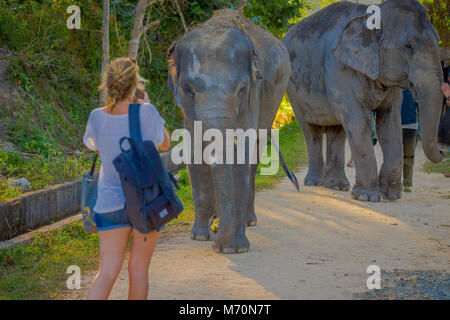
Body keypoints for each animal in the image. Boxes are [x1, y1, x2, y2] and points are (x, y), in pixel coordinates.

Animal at [167, 8, 290, 251]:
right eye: (189, 89)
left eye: (242, 89)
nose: (215, 228)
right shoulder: (187, 110)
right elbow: (194, 151)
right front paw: (200, 236)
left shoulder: (254, 95)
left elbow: (241, 153)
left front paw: (234, 248)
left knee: (254, 155)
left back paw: (249, 221)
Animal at [284, 0, 444, 201]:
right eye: (408, 46)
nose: (443, 152)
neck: (370, 15)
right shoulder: (339, 69)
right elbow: (359, 122)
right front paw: (367, 197)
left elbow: (390, 124)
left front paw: (392, 195)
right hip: (293, 93)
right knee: (310, 130)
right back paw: (315, 182)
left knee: (337, 131)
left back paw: (337, 186)